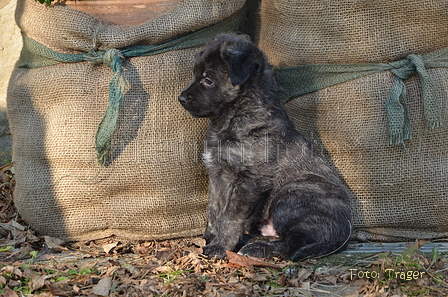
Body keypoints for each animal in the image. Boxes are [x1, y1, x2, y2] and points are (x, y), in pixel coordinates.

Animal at [178, 33, 350, 260]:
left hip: (293, 194)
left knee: (292, 243)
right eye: (194, 74)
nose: (180, 98)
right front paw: (209, 238)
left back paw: (257, 248)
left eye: (208, 80)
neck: (235, 116)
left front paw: (219, 246)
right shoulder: (218, 174)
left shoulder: (250, 181)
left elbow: (230, 217)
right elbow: (214, 210)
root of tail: (344, 234)